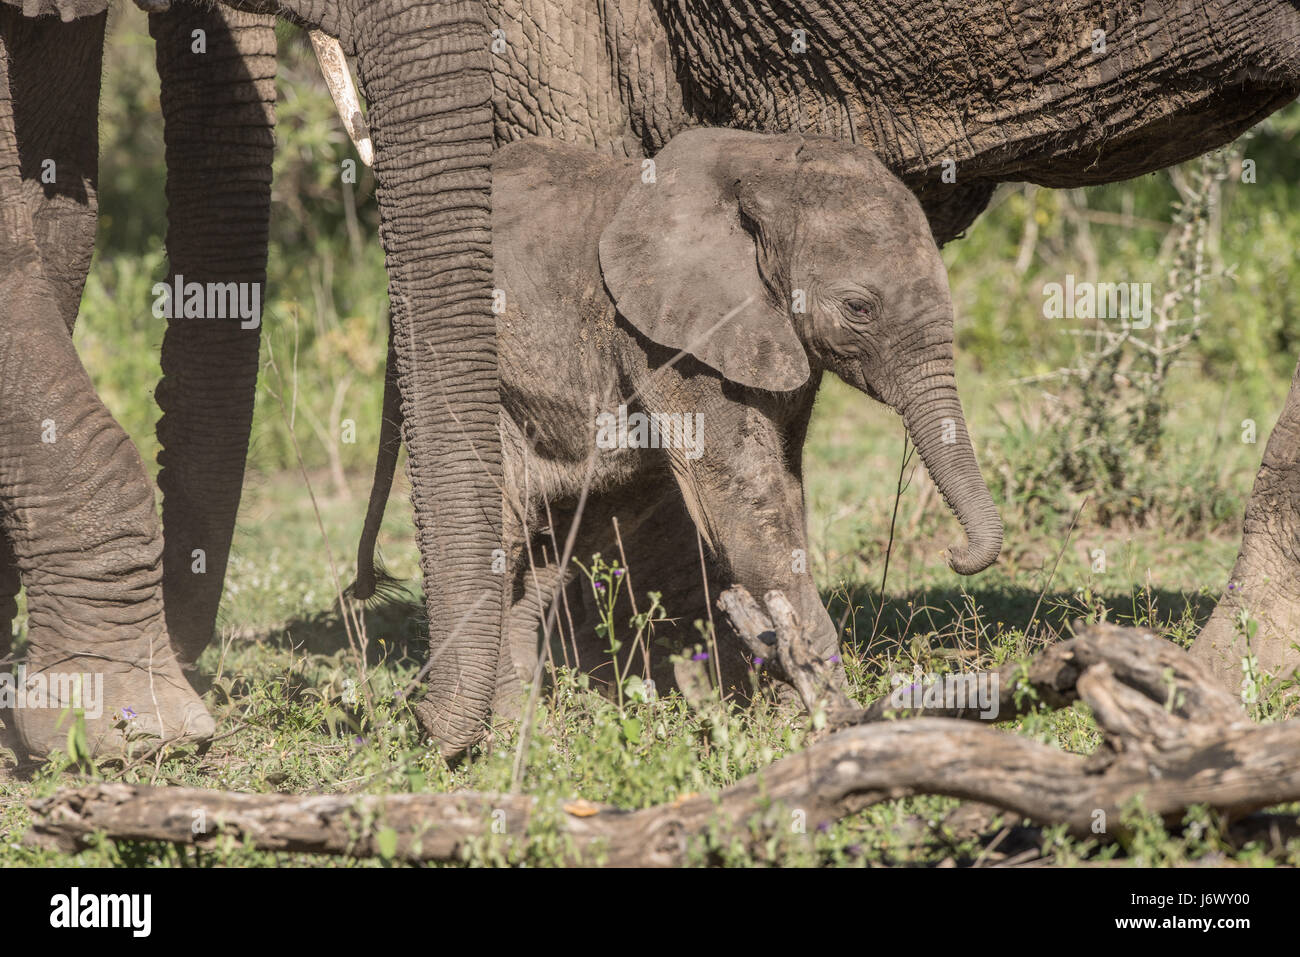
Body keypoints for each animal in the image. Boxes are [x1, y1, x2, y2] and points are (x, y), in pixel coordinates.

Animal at [351, 125, 998, 712]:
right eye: (859, 308)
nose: (954, 554)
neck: (761, 165)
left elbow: (781, 485)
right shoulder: (662, 332)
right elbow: (743, 493)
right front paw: (819, 711)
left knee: (562, 537)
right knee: (512, 531)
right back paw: (509, 728)